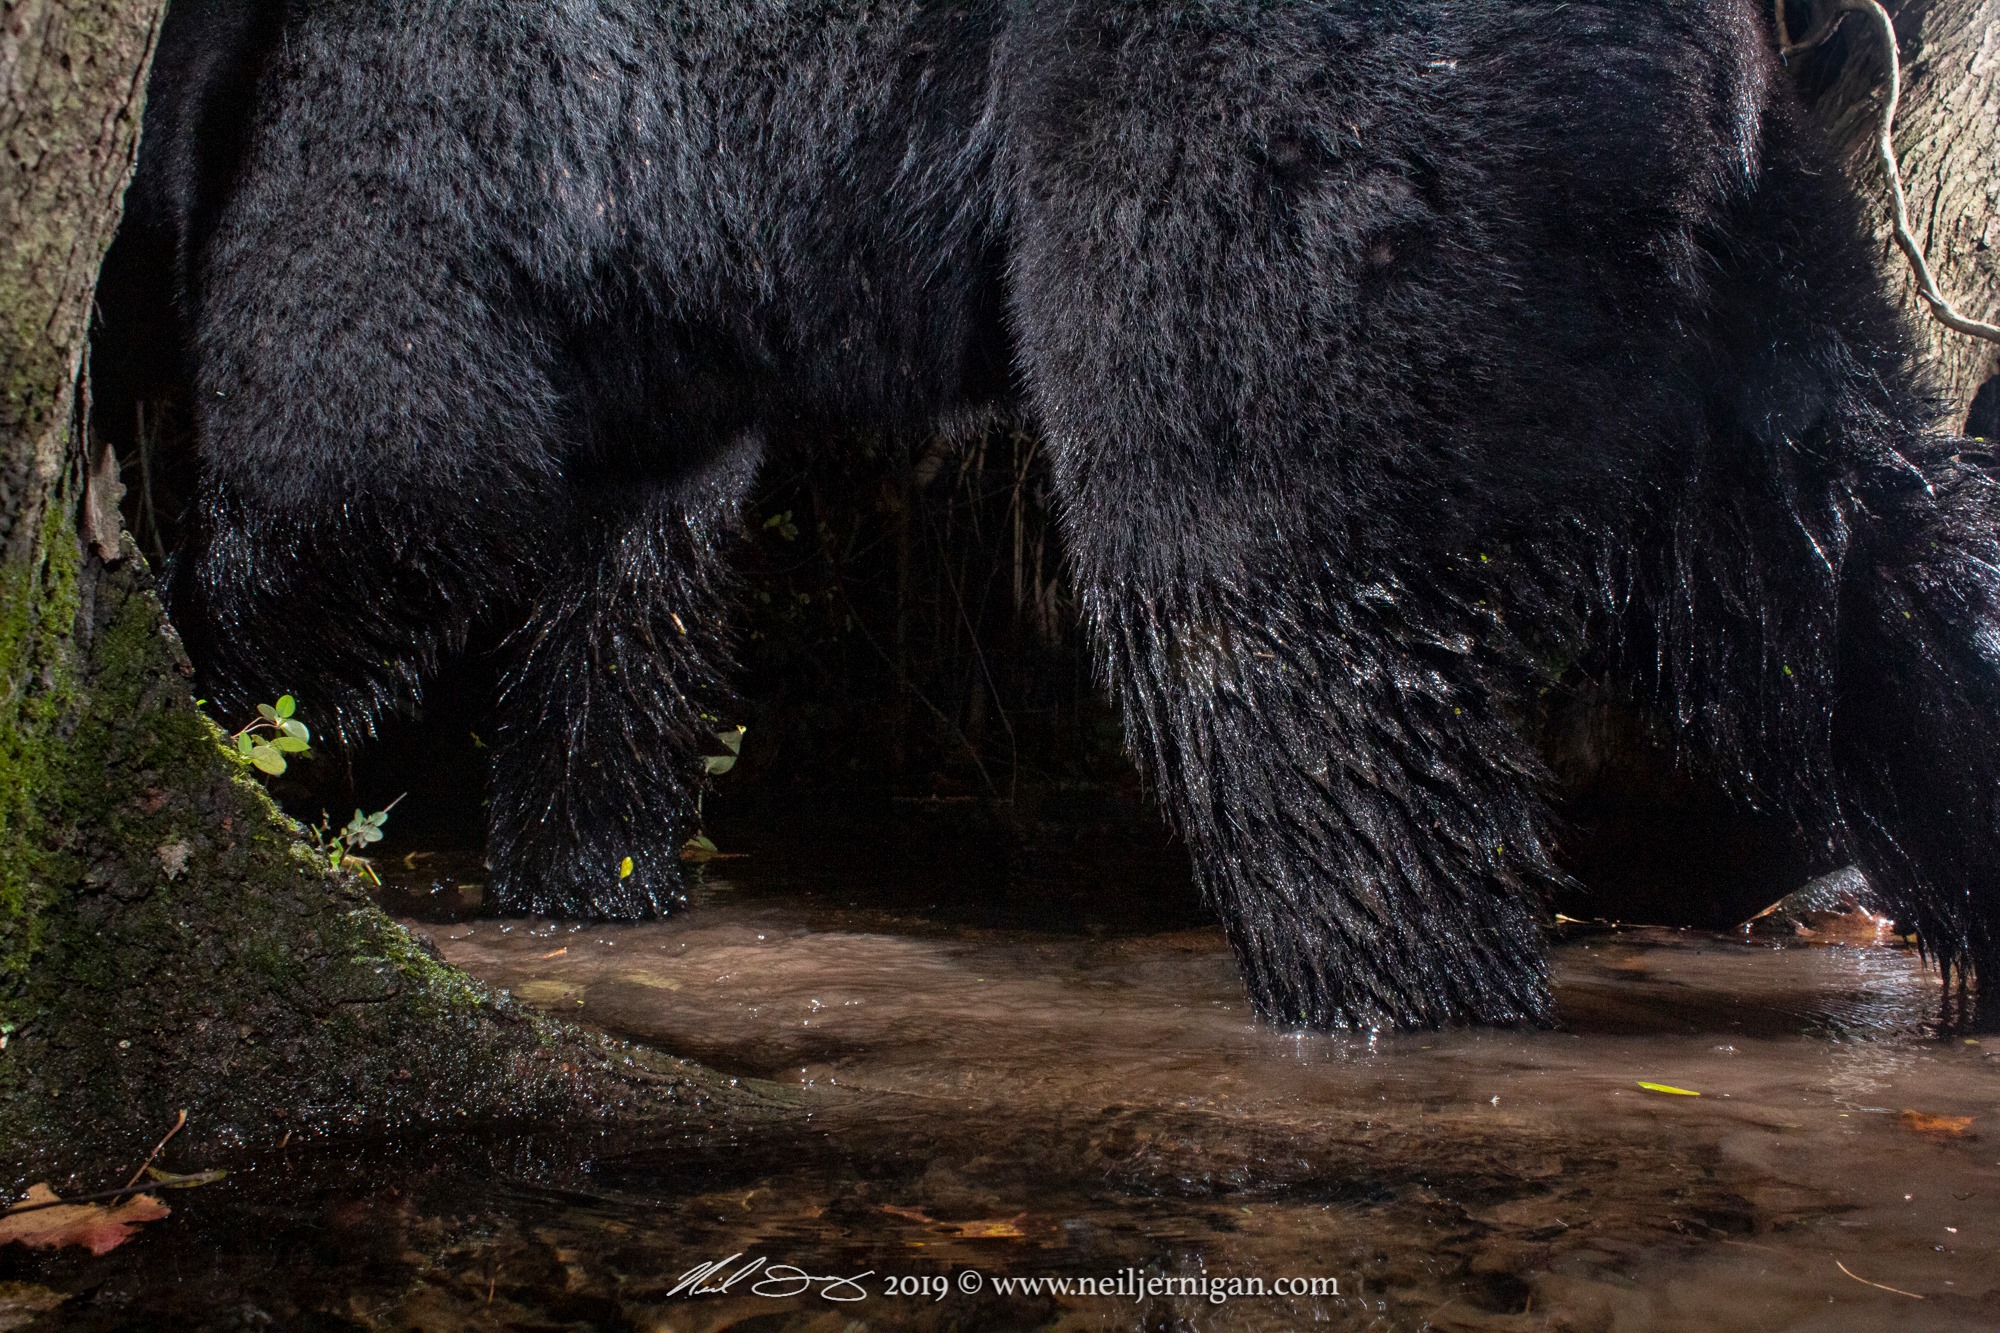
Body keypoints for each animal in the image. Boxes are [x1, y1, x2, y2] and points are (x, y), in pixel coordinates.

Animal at [119, 0, 2000, 1030]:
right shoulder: (644, 305)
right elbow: (619, 595)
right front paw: (592, 872)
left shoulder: (424, 120)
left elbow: (369, 459)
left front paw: (205, 690)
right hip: (1724, 242)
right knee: (1855, 545)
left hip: (1265, 145)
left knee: (1271, 627)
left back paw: (1394, 991)